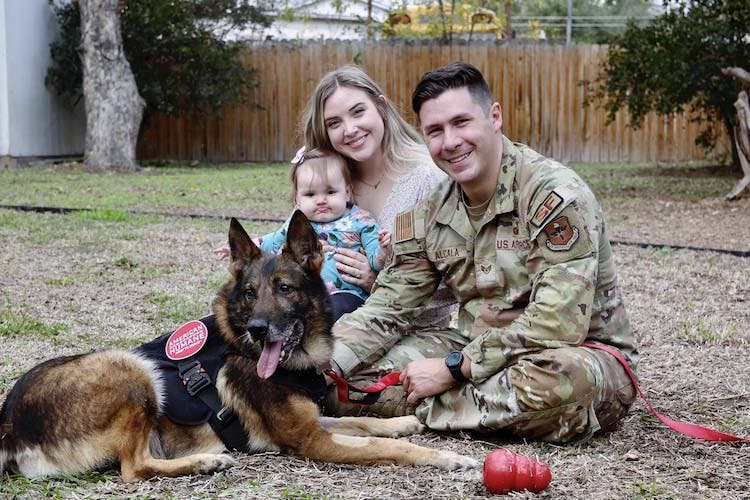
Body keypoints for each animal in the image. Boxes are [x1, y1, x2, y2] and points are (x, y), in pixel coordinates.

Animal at [0, 213, 478, 482]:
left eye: (284, 288)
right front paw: (446, 457)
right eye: (249, 293)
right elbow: (386, 447)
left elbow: (361, 423)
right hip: (130, 369)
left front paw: (401, 422)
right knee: (132, 470)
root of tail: (9, 427)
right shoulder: (310, 441)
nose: (259, 329)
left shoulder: (312, 423)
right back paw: (204, 464)